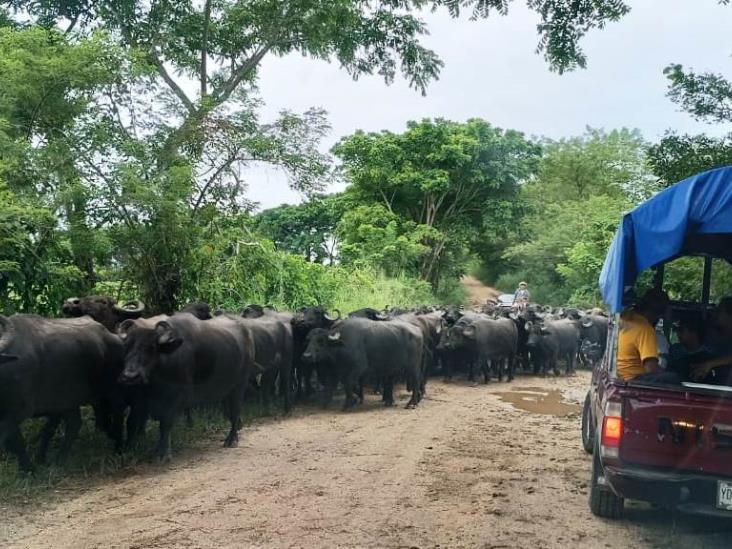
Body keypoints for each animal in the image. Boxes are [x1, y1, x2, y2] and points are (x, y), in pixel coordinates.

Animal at [0, 314, 124, 468]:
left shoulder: (21, 410)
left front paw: (29, 468)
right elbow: (16, 442)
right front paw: (28, 468)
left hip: (112, 392)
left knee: (117, 414)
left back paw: (119, 447)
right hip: (68, 401)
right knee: (73, 424)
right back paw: (57, 459)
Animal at [118, 312, 256, 462]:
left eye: (151, 348)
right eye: (127, 346)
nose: (130, 376)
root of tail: (247, 333)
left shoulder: (177, 398)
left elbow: (165, 423)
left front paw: (163, 454)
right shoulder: (144, 399)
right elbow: (135, 422)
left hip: (239, 385)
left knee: (236, 410)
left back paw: (231, 440)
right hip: (226, 390)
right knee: (229, 411)